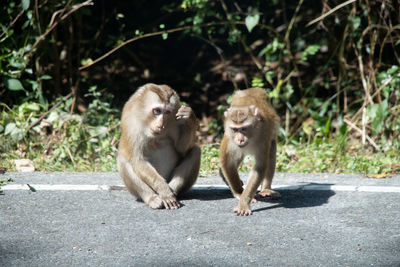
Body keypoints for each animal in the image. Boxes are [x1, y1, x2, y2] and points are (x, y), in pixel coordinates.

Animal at [219, 89, 282, 217]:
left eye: (243, 128)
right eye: (235, 129)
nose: (240, 139)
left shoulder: (263, 134)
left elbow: (260, 166)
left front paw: (244, 202)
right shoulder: (229, 136)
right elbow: (227, 162)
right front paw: (239, 193)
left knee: (271, 151)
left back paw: (266, 189)